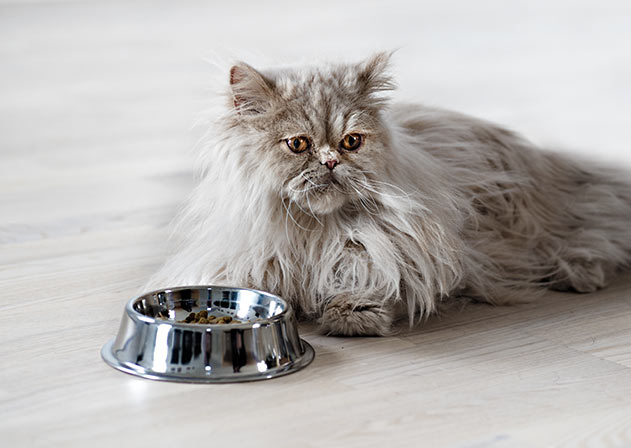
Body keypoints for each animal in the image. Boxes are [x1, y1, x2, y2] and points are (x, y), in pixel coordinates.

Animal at [148, 52, 631, 336]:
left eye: (351, 142)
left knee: (598, 231)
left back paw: (579, 273)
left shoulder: (413, 261)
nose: (330, 161)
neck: (316, 232)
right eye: (298, 145)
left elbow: (369, 286)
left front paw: (354, 313)